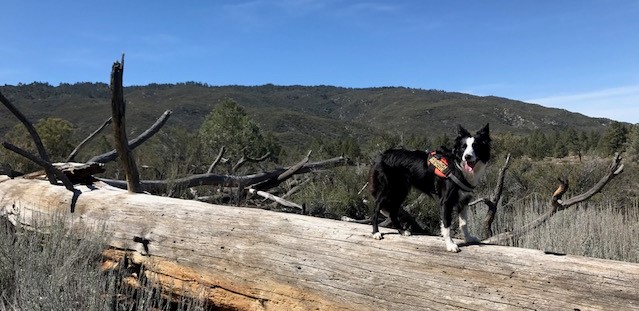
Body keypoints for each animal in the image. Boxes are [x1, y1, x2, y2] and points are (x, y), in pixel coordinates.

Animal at [368, 124, 492, 254]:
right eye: (463, 147)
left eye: (476, 146)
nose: (467, 157)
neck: (458, 168)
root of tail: (382, 155)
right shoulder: (446, 201)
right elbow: (447, 224)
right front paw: (450, 245)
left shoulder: (463, 200)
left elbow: (464, 223)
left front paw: (468, 238)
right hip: (388, 189)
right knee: (376, 209)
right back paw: (376, 232)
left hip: (400, 191)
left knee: (393, 212)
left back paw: (402, 230)